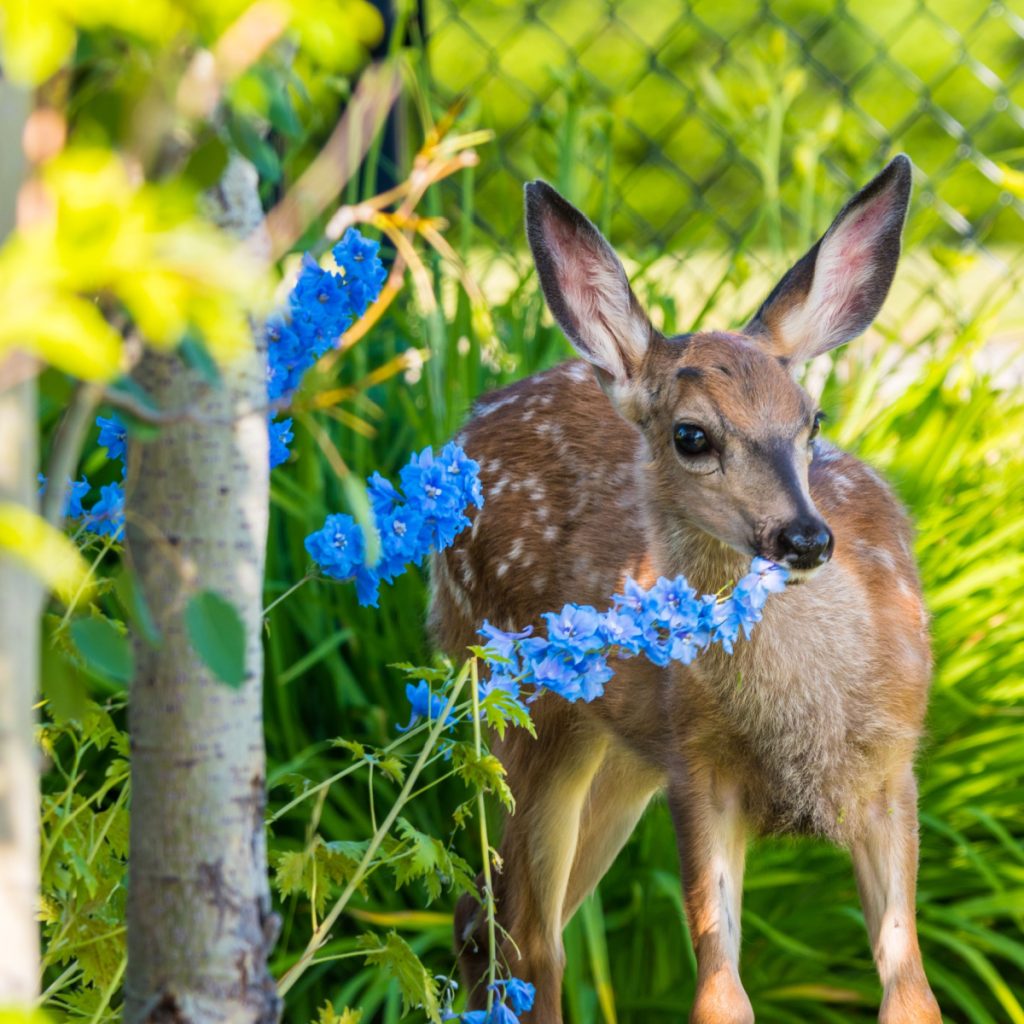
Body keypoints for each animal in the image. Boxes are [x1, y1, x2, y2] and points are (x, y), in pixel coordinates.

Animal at [429, 155, 942, 1024]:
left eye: (813, 420)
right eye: (692, 435)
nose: (806, 538)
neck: (809, 722)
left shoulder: (889, 771)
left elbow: (911, 992)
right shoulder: (701, 772)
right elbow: (719, 991)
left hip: (620, 755)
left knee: (483, 920)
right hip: (516, 703)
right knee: (531, 940)